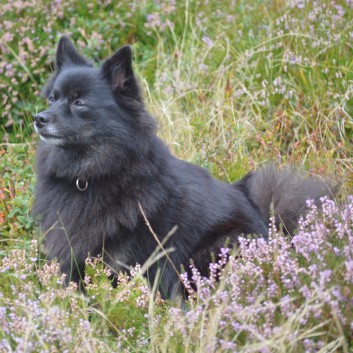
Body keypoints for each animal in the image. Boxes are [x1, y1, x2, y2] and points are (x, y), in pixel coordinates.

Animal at [33, 36, 332, 296]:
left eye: (80, 102)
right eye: (52, 98)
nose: (39, 118)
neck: (92, 175)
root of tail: (272, 228)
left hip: (213, 251)